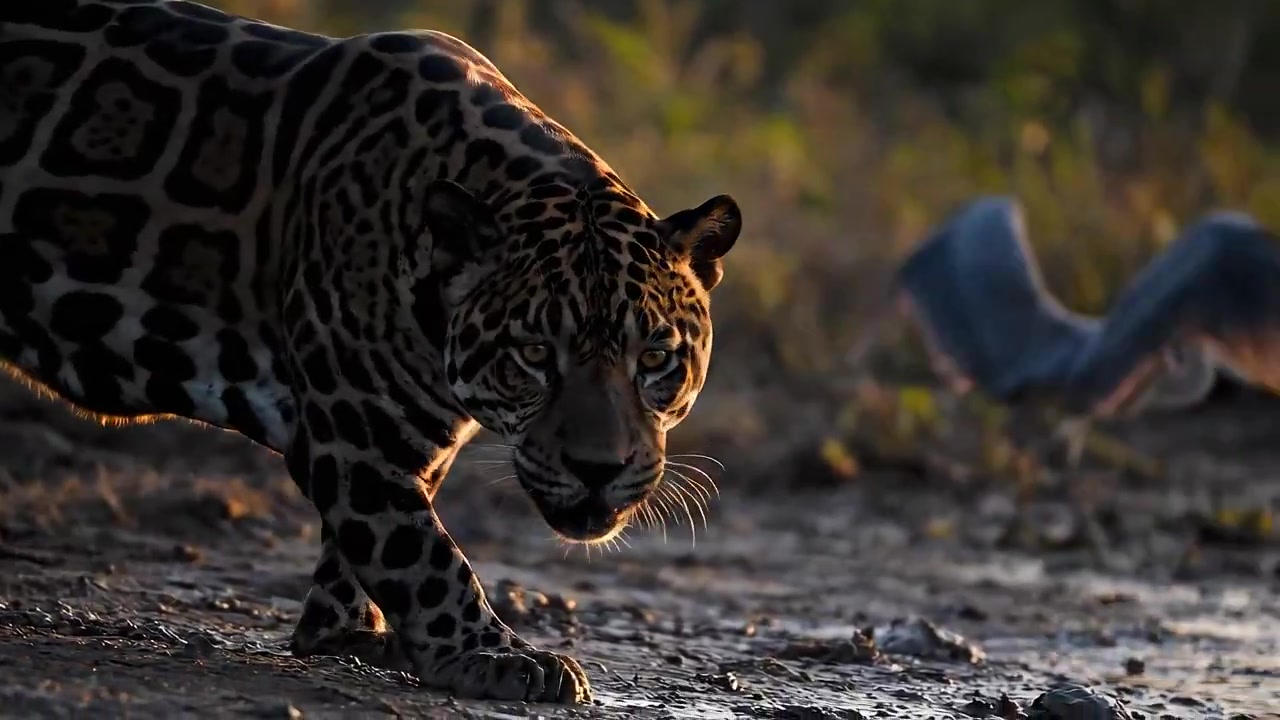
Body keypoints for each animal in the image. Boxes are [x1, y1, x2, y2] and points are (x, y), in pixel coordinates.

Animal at [0, 0, 742, 704]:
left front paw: (345, 632)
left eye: (654, 359)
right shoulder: (357, 438)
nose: (598, 469)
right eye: (533, 352)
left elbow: (371, 545)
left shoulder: (401, 448)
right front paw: (498, 655)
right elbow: (425, 556)